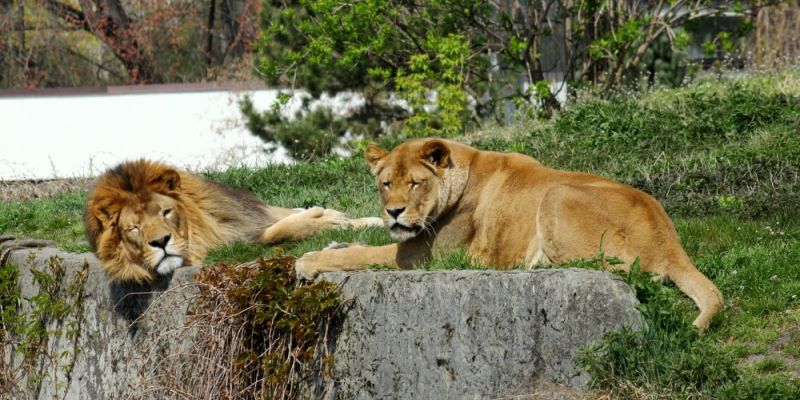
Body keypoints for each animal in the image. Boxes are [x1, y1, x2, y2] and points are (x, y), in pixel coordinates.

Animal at [84, 158, 382, 282]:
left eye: (165, 212)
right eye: (134, 228)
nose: (160, 242)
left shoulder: (247, 214)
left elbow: (285, 217)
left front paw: (342, 218)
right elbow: (275, 232)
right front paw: (330, 220)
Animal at [298, 139, 724, 330]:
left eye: (415, 183)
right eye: (386, 183)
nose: (394, 212)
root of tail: (670, 242)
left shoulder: (426, 255)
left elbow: (364, 254)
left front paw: (309, 261)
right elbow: (359, 245)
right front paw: (334, 241)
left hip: (557, 193)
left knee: (604, 266)